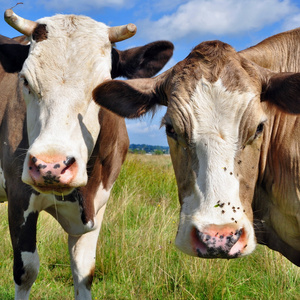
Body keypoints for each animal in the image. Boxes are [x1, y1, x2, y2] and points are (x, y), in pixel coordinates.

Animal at [0, 8, 173, 298]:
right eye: (25, 81)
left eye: (103, 85)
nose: (51, 165)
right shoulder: (18, 194)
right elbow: (26, 271)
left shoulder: (99, 204)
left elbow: (84, 271)